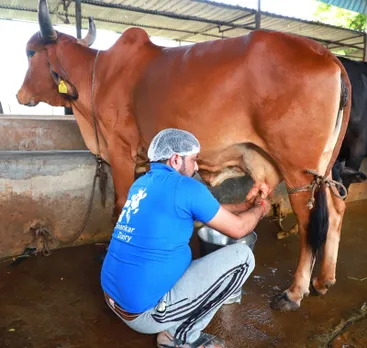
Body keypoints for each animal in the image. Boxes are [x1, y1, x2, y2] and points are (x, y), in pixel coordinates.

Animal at [17, 0, 354, 312]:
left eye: (31, 52)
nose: (20, 95)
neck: (97, 77)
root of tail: (329, 56)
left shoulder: (119, 149)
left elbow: (120, 203)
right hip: (325, 167)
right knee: (337, 208)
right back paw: (324, 279)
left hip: (298, 170)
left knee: (310, 221)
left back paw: (294, 293)